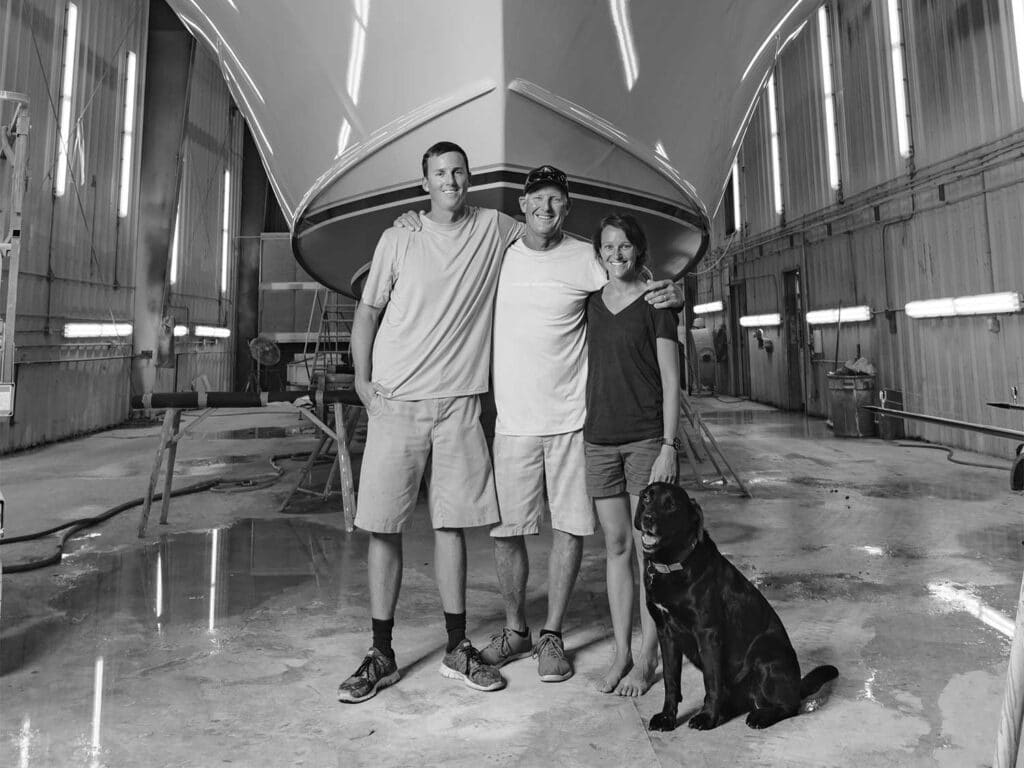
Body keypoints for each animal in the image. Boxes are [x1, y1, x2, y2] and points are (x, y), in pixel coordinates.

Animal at [634, 483, 835, 729]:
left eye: (671, 505)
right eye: (646, 497)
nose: (648, 518)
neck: (672, 564)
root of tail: (797, 685)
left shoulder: (707, 633)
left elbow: (711, 681)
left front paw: (707, 717)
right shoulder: (666, 633)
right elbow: (671, 681)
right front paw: (667, 717)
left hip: (764, 650)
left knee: (789, 706)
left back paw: (760, 716)